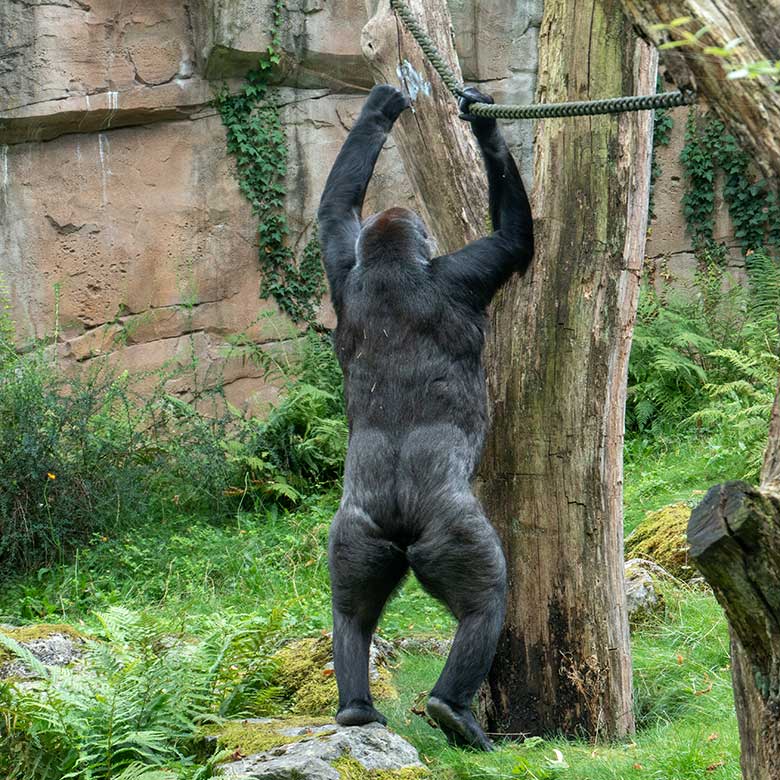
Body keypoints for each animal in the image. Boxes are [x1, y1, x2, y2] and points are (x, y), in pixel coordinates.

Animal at [316, 84, 532, 748]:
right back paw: (450, 708)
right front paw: (485, 126)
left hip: (355, 534)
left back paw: (356, 709)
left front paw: (379, 110)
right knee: (484, 599)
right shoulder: (466, 272)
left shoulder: (343, 267)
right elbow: (516, 239)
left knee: (351, 610)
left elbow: (333, 212)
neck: (388, 267)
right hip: (450, 533)